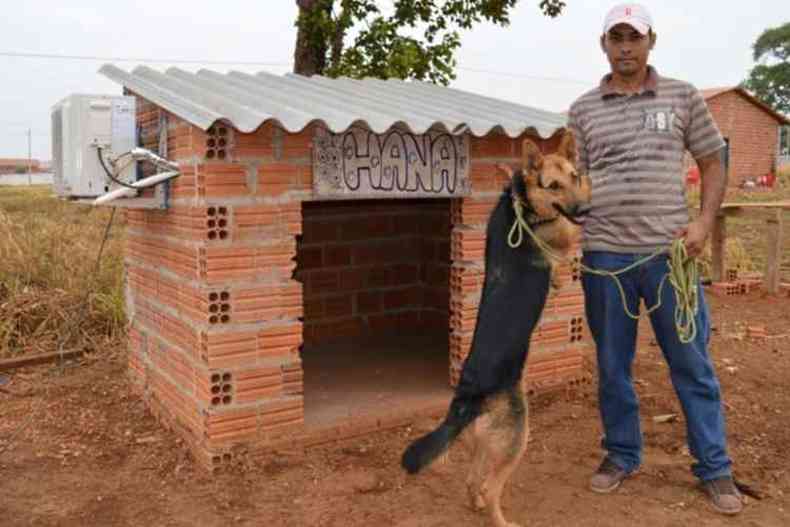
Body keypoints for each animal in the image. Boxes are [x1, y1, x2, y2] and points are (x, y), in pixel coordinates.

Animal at [406, 129, 592, 527]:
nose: (584, 211)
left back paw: (475, 503)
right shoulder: (562, 231)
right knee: (492, 487)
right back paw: (501, 519)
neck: (522, 205)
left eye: (573, 177)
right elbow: (568, 233)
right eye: (553, 185)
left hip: (483, 443)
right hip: (517, 438)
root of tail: (466, 401)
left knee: (472, 479)